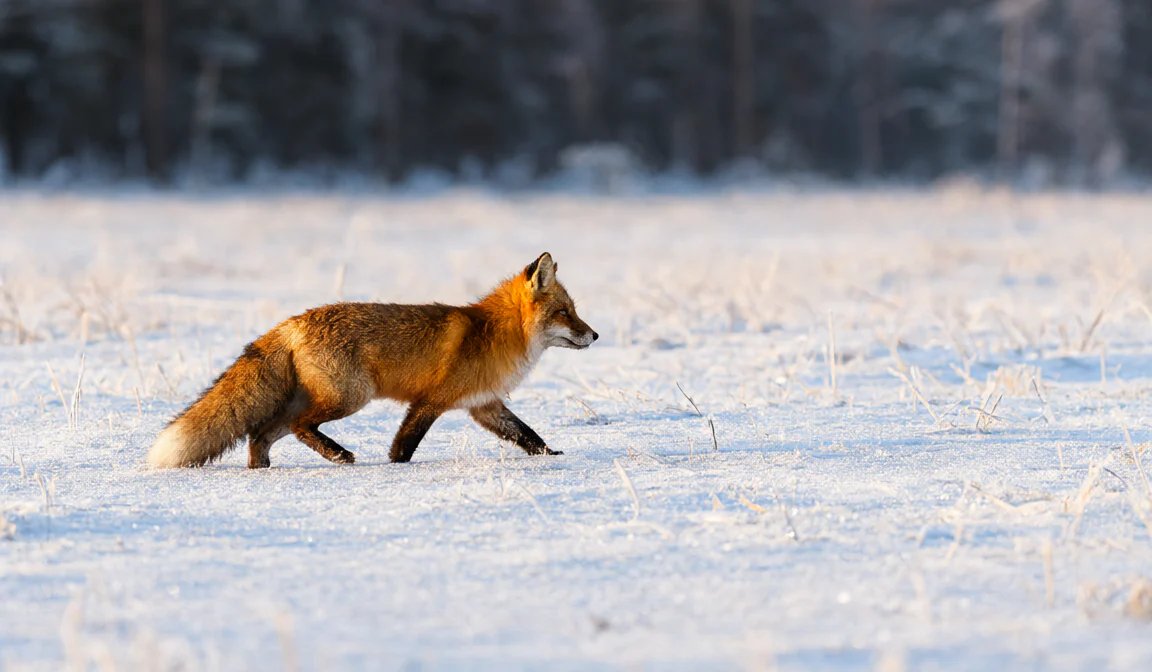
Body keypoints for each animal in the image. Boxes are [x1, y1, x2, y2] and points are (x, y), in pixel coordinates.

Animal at [147, 252, 597, 469]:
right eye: (564, 313)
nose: (594, 335)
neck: (496, 333)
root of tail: (292, 322)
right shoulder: (430, 402)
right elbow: (405, 445)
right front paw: (395, 468)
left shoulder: (484, 406)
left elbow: (529, 435)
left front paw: (551, 457)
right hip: (351, 397)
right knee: (298, 427)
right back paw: (338, 455)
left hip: (309, 400)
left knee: (261, 434)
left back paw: (263, 469)